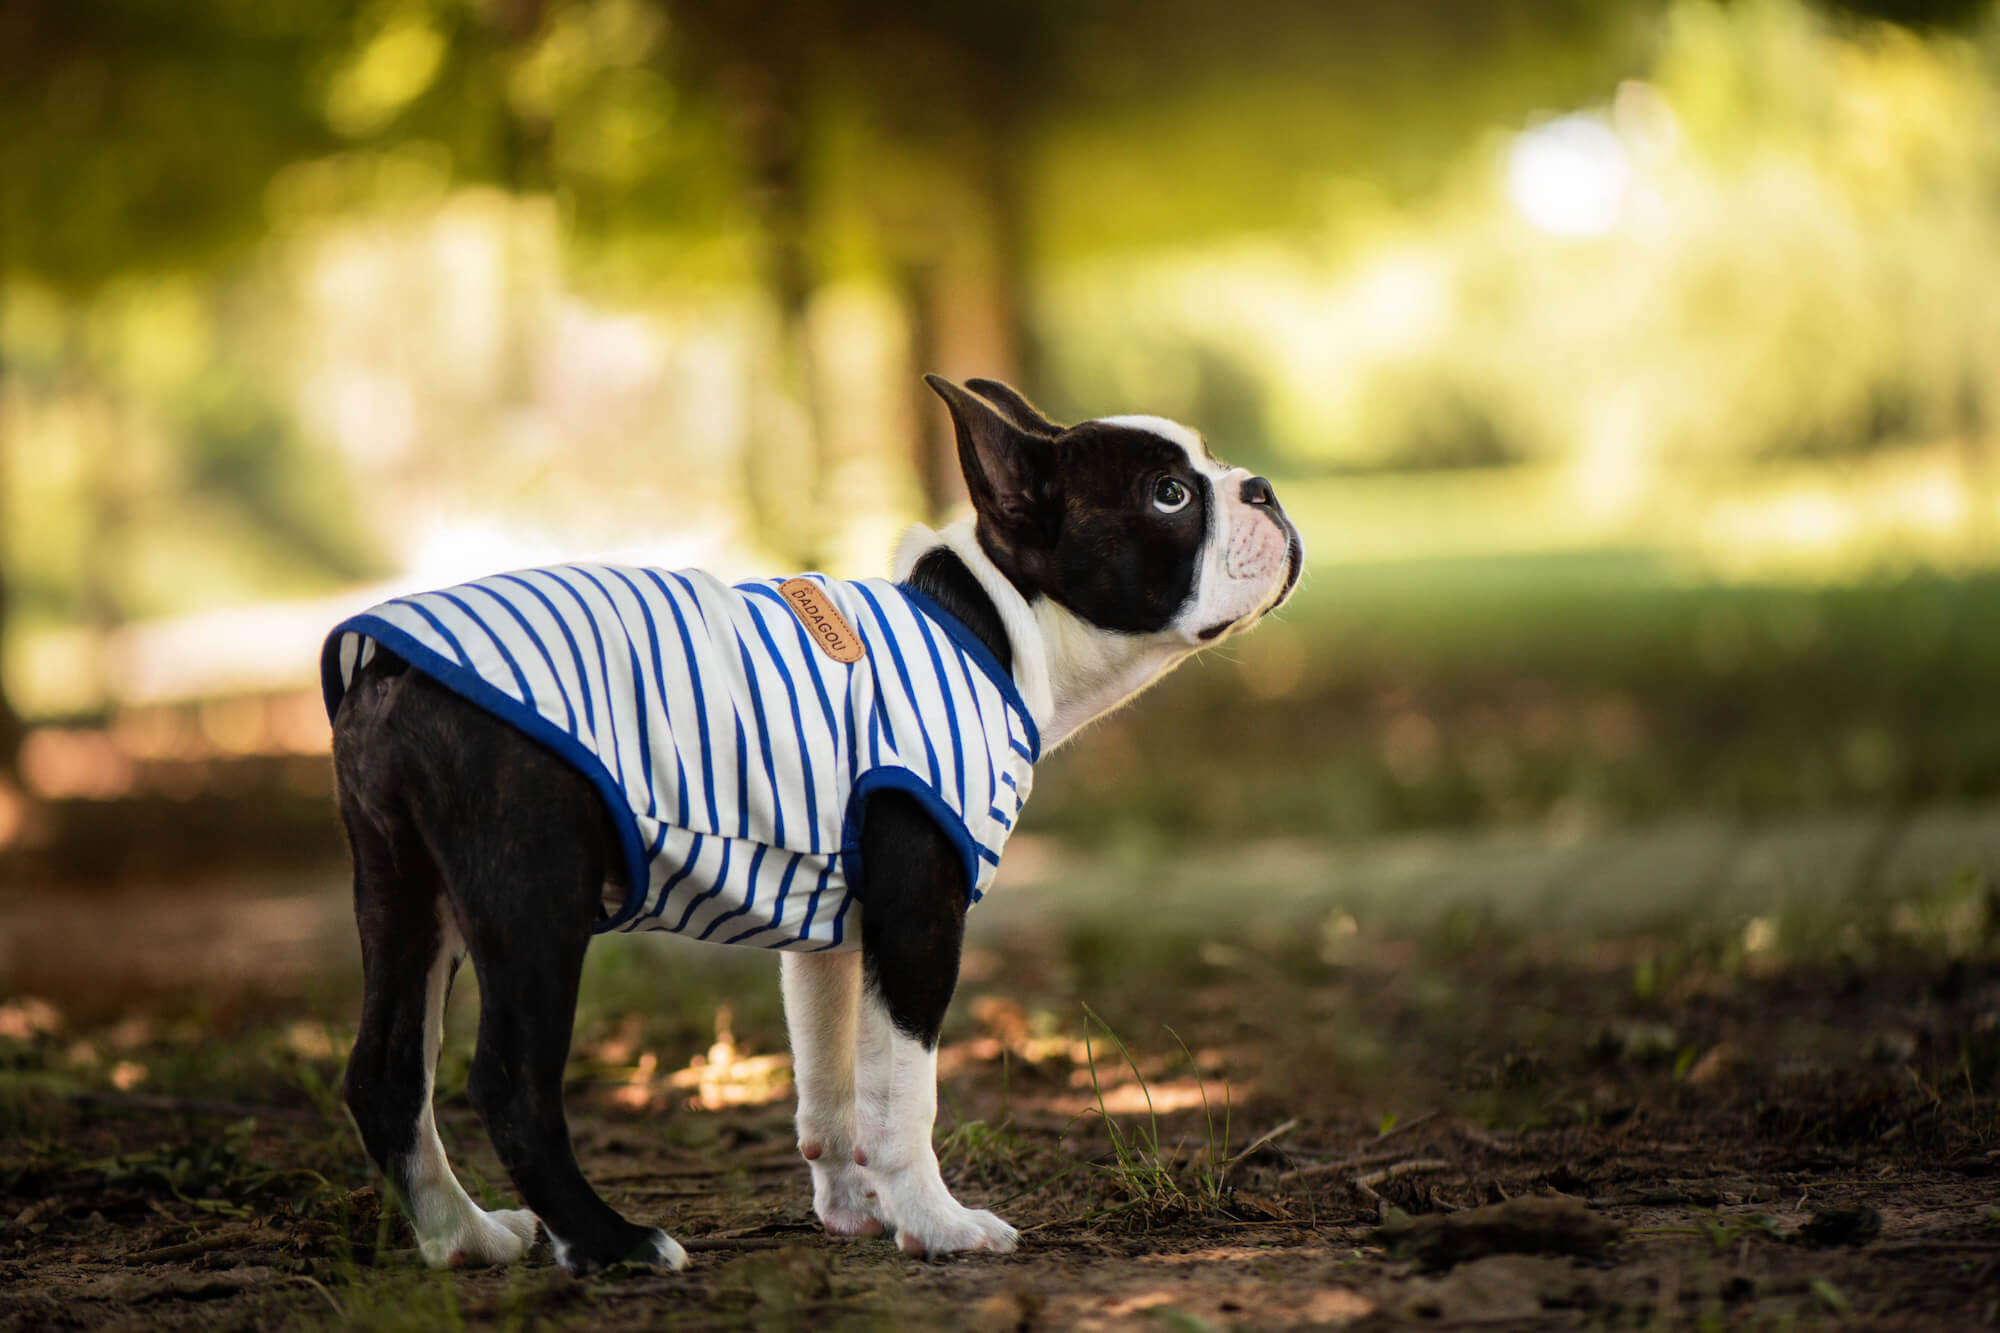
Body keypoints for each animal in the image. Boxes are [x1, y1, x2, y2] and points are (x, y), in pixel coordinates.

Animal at [320, 370, 1304, 1264]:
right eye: (1169, 495)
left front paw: (855, 1208)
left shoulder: (830, 929)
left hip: (409, 894)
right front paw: (936, 1223)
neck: (989, 628)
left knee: (388, 1075)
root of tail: (390, 663)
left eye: (1210, 465)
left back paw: (464, 1237)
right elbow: (902, 1091)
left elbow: (832, 1083)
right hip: (532, 897)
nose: (1261, 487)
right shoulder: (918, 919)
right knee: (510, 1083)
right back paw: (612, 1242)